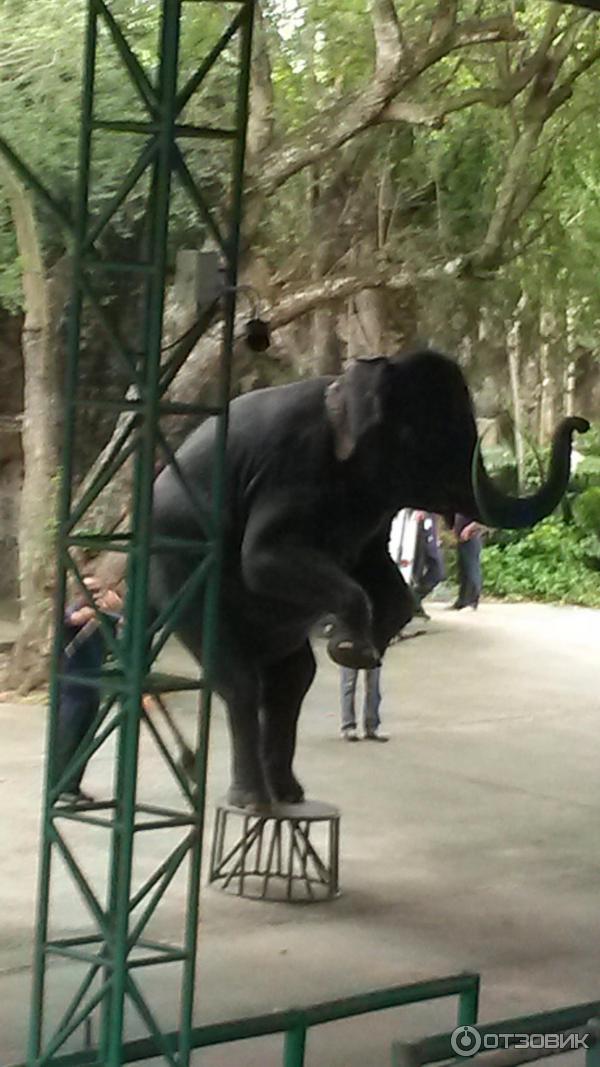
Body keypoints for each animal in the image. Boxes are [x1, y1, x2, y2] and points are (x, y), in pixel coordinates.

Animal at [148, 349, 585, 806]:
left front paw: (365, 648)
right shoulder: (291, 465)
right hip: (179, 572)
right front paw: (351, 650)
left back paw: (287, 794)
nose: (581, 423)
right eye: (420, 436)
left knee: (293, 678)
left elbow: (382, 575)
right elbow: (262, 559)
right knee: (239, 680)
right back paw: (251, 799)